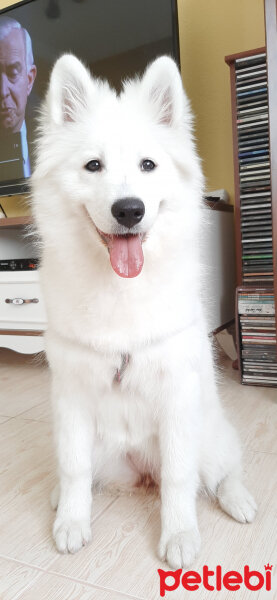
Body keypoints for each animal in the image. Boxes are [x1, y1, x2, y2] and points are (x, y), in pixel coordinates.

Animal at [30, 55, 256, 568]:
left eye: (147, 165)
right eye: (93, 165)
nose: (129, 210)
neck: (121, 287)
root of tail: (139, 470)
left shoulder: (176, 397)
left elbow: (178, 477)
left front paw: (179, 535)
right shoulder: (72, 396)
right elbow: (74, 469)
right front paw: (72, 522)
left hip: (208, 435)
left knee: (222, 469)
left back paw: (238, 499)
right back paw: (57, 499)